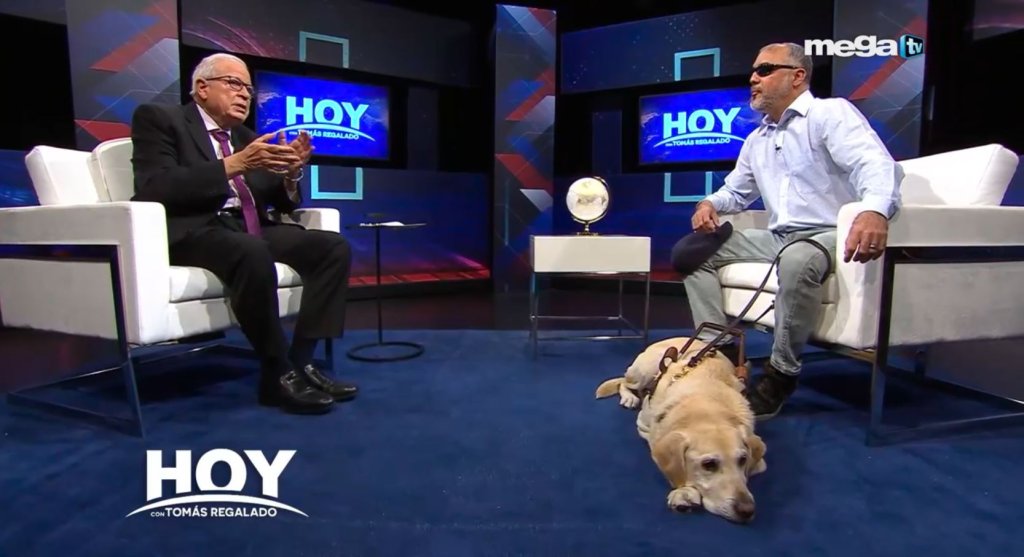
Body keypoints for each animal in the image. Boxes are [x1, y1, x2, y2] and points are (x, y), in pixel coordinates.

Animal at [596, 337, 767, 524]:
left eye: (743, 460)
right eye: (708, 464)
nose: (747, 510)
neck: (705, 404)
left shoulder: (760, 462)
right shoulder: (645, 427)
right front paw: (685, 492)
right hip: (643, 372)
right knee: (623, 383)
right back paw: (629, 397)